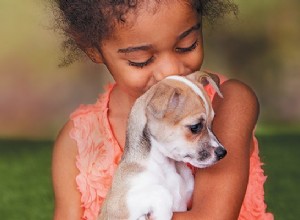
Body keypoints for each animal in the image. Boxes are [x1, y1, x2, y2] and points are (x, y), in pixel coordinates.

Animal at [98, 71, 227, 219]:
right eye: (195, 127)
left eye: (212, 123)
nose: (222, 153)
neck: (166, 167)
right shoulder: (116, 207)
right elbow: (161, 192)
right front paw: (162, 213)